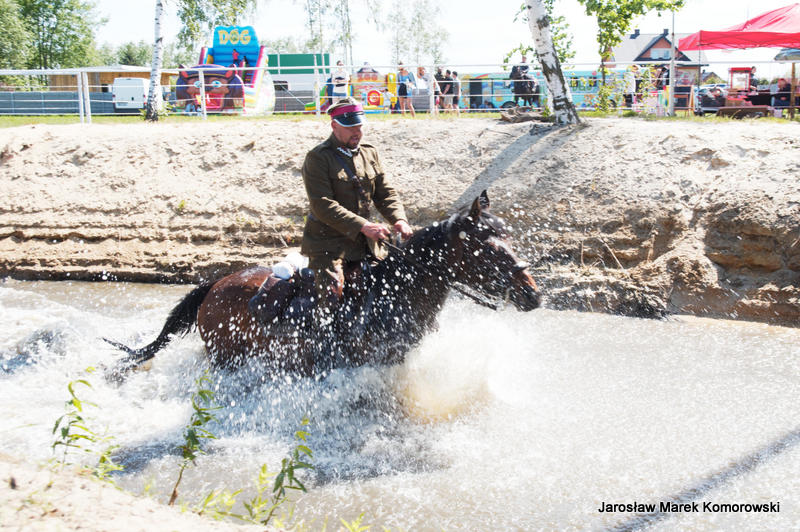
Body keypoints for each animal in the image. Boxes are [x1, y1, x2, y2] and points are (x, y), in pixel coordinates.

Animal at [104, 192, 541, 379]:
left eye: (508, 238)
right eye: (489, 248)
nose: (532, 294)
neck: (396, 290)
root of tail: (213, 286)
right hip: (227, 359)